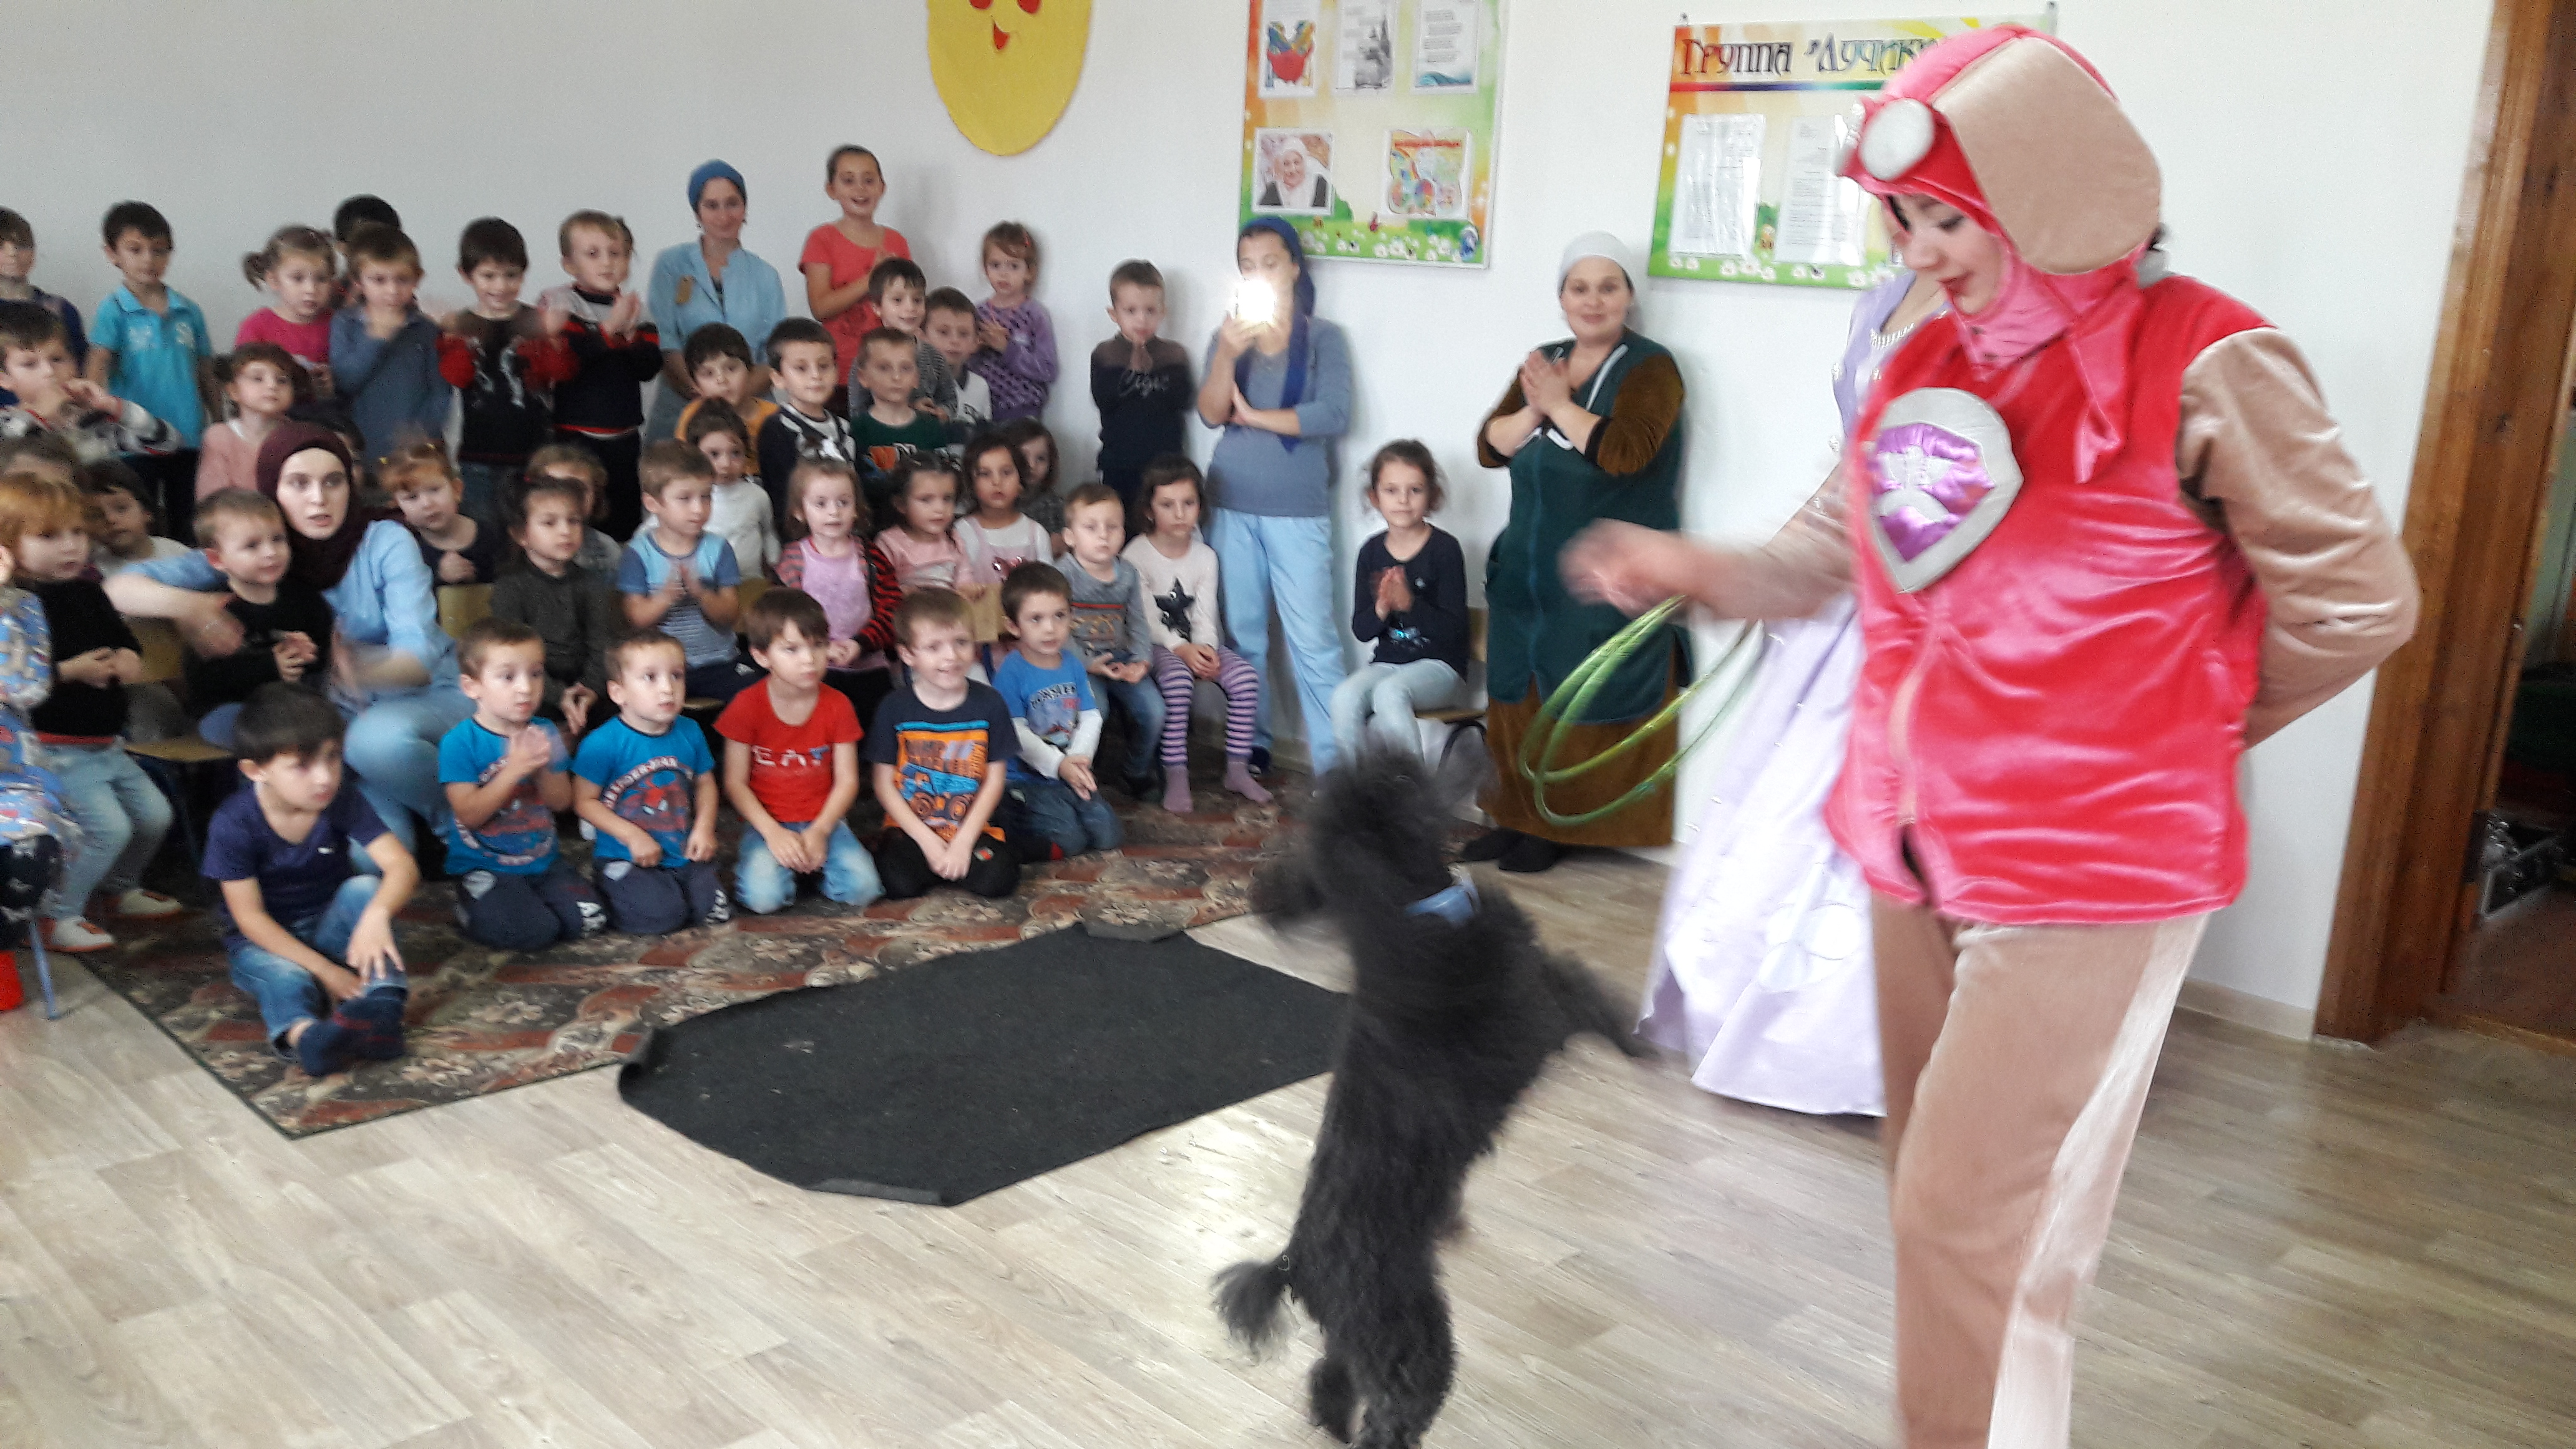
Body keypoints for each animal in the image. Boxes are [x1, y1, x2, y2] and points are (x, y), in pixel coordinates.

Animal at [1215, 744, 1646, 1448]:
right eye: (1399, 777)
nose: (1464, 745)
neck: (1403, 915)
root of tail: (1294, 1263)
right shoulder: (1542, 1011)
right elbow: (1588, 991)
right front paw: (1648, 1042)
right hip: (1410, 1343)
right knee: (1389, 1415)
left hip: (1357, 1338)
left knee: (1328, 1377)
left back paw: (1331, 1424)